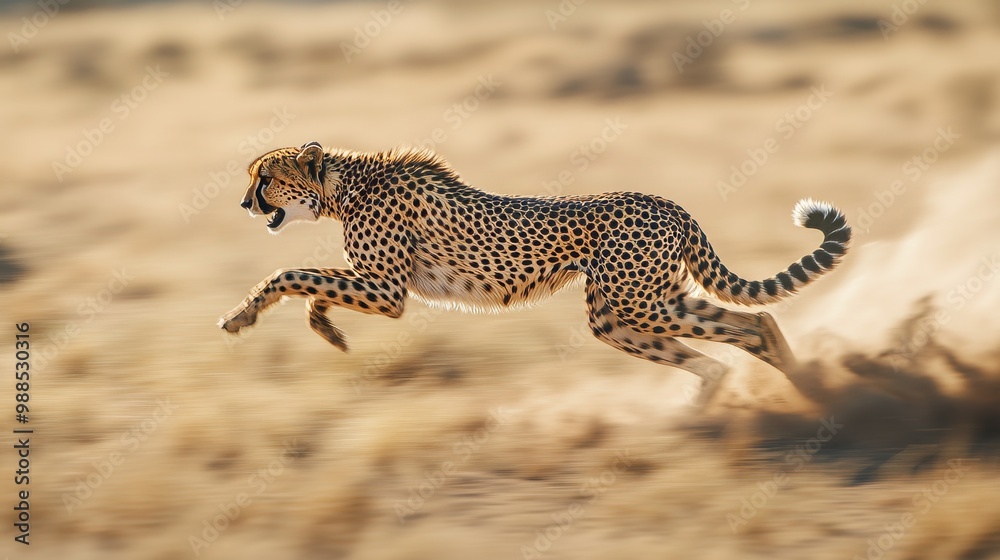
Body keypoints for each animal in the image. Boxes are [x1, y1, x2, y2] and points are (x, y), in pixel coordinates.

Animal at [219, 141, 851, 405]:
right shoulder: (376, 286)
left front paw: (241, 316)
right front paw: (325, 327)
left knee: (751, 324)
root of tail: (668, 203)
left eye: (265, 179)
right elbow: (313, 284)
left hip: (637, 303)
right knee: (739, 337)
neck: (343, 187)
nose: (245, 204)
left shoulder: (388, 292)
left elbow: (291, 272)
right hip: (626, 311)